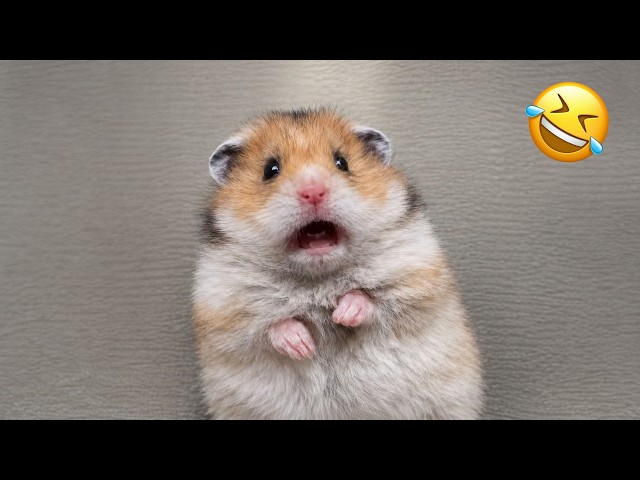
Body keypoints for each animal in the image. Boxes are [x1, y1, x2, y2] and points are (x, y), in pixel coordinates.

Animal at [192, 108, 484, 419]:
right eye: (270, 170)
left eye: (342, 162)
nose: (313, 192)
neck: (319, 277)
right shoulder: (226, 312)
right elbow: (271, 327)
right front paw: (303, 346)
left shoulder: (417, 280)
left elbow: (372, 298)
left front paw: (343, 315)